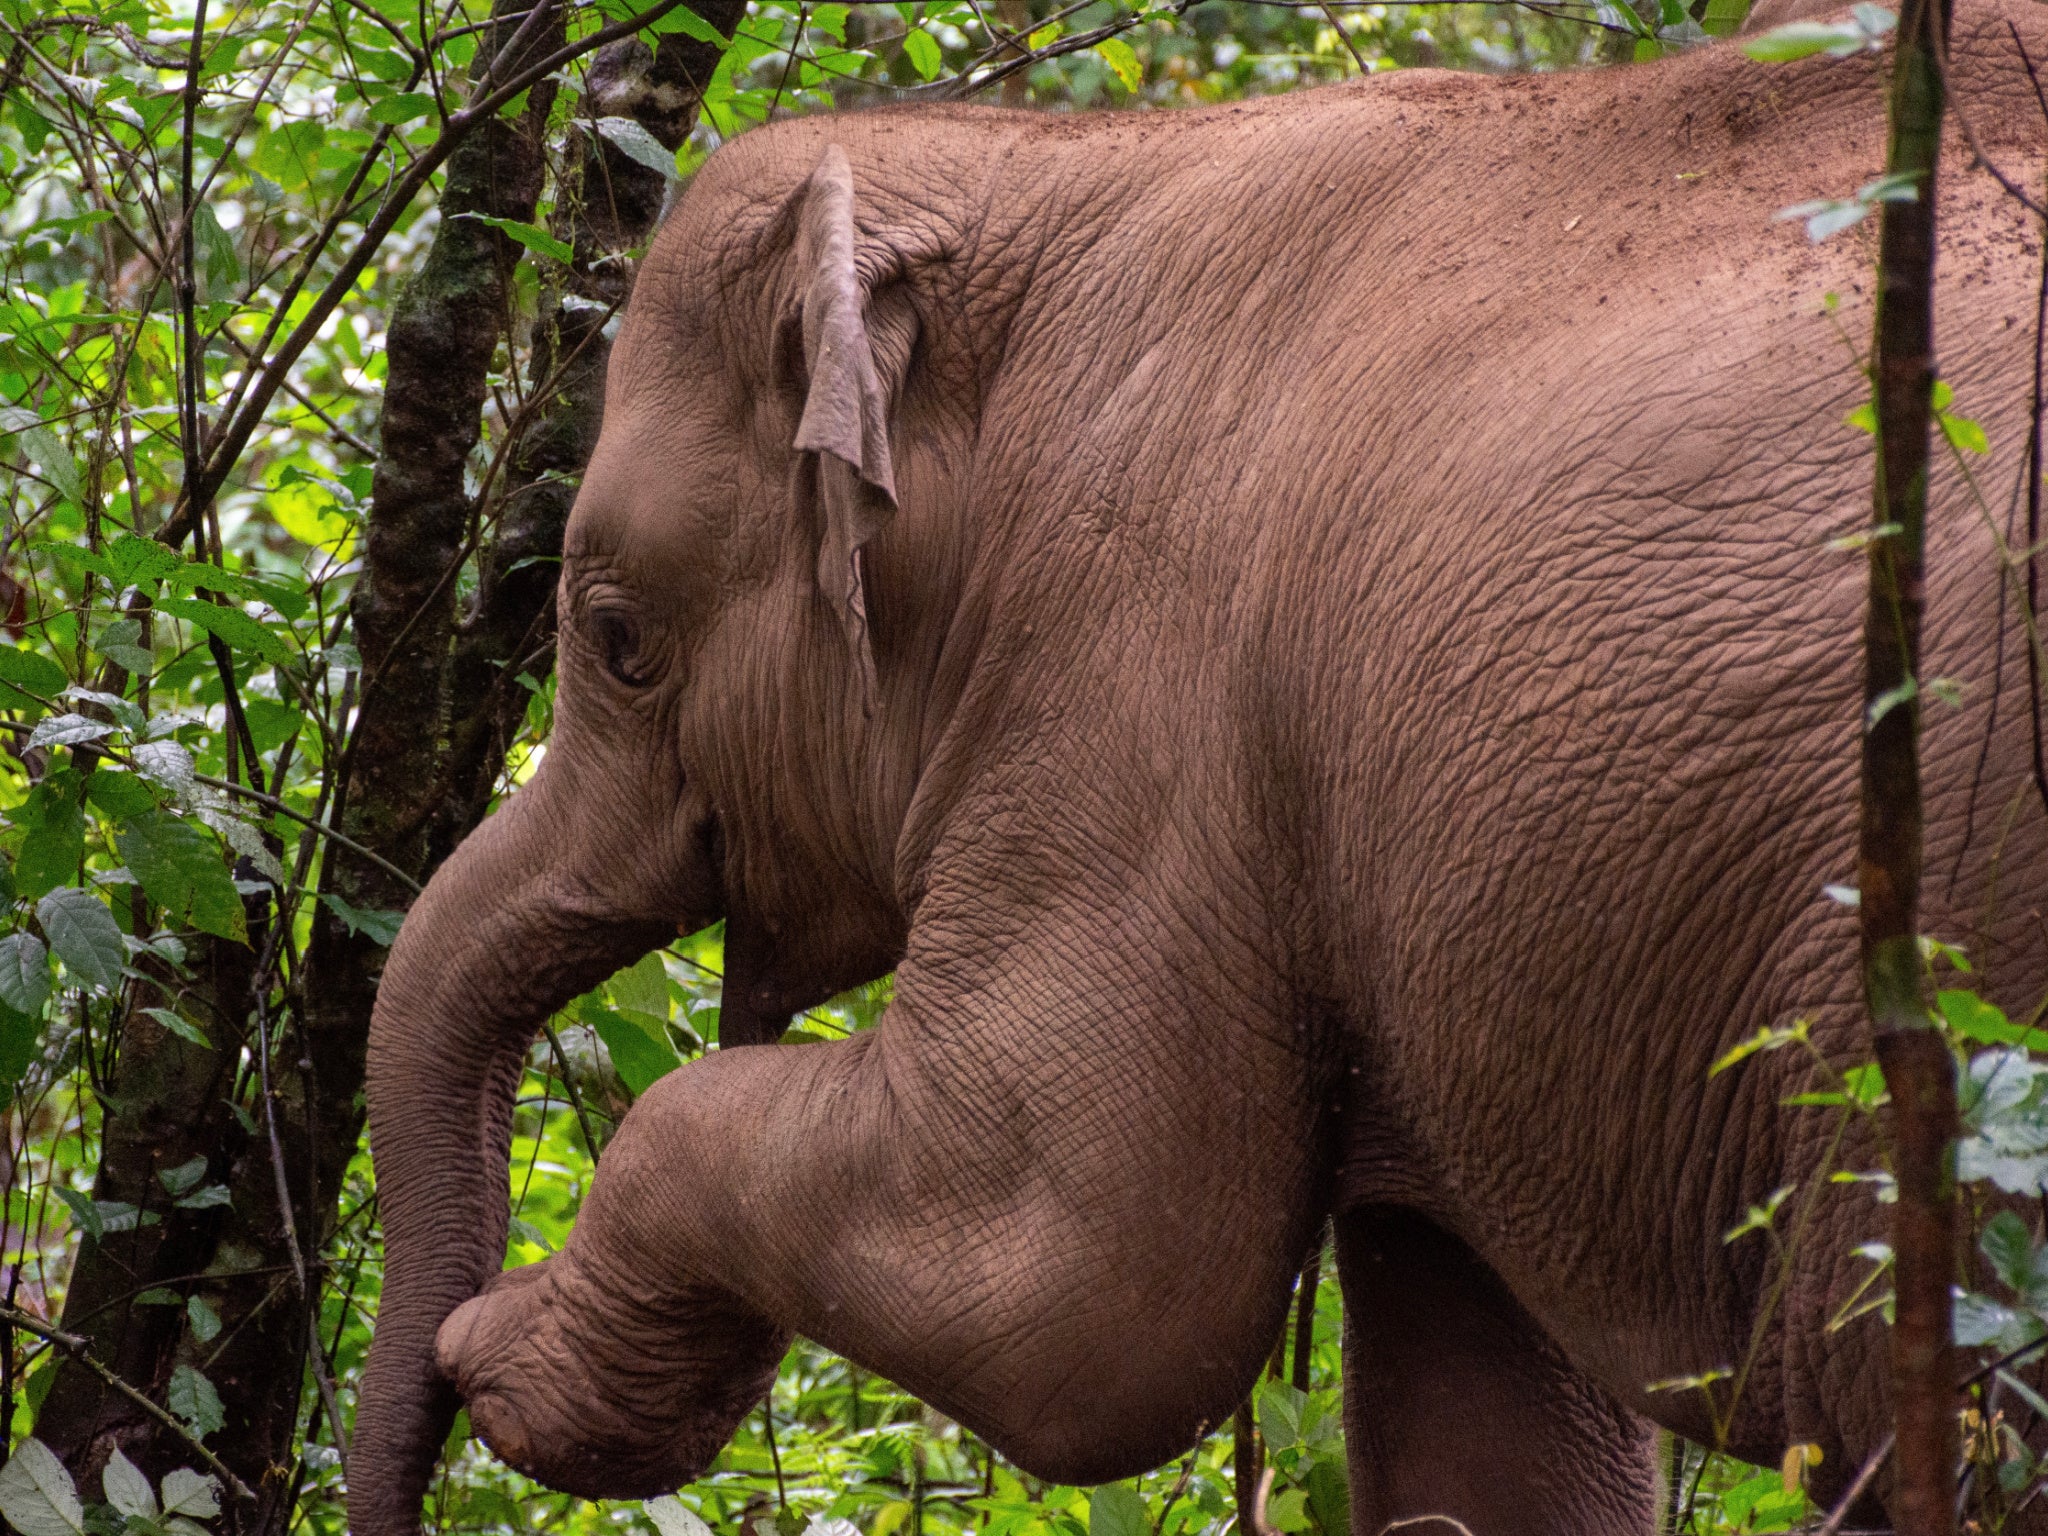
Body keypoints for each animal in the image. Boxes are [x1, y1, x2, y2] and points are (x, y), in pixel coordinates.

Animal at [360, 3, 2048, 1531]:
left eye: (616, 638)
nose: (424, 1387)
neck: (1065, 173)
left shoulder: (1143, 683)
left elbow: (1073, 1280)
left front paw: (505, 1348)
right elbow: (1484, 1430)